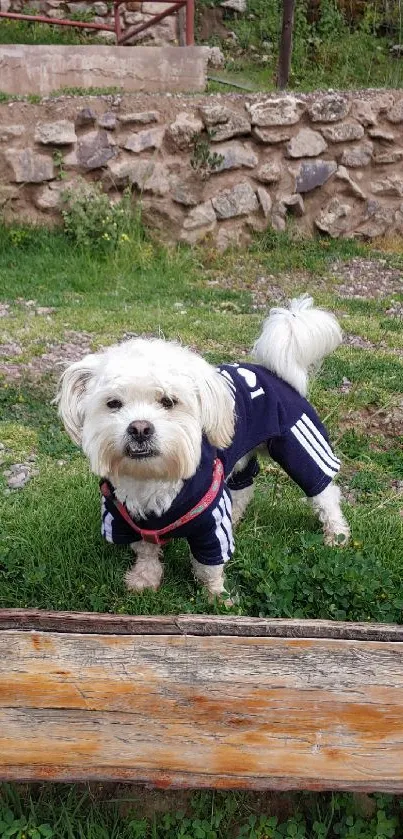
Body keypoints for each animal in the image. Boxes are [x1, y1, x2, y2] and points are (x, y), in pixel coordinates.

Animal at [56, 298, 350, 600]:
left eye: (169, 401)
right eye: (113, 403)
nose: (139, 428)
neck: (152, 479)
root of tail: (276, 372)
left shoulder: (211, 522)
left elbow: (210, 565)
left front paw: (216, 596)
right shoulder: (123, 519)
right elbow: (146, 551)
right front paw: (144, 579)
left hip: (299, 447)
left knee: (324, 492)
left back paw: (336, 534)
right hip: (241, 458)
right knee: (243, 488)